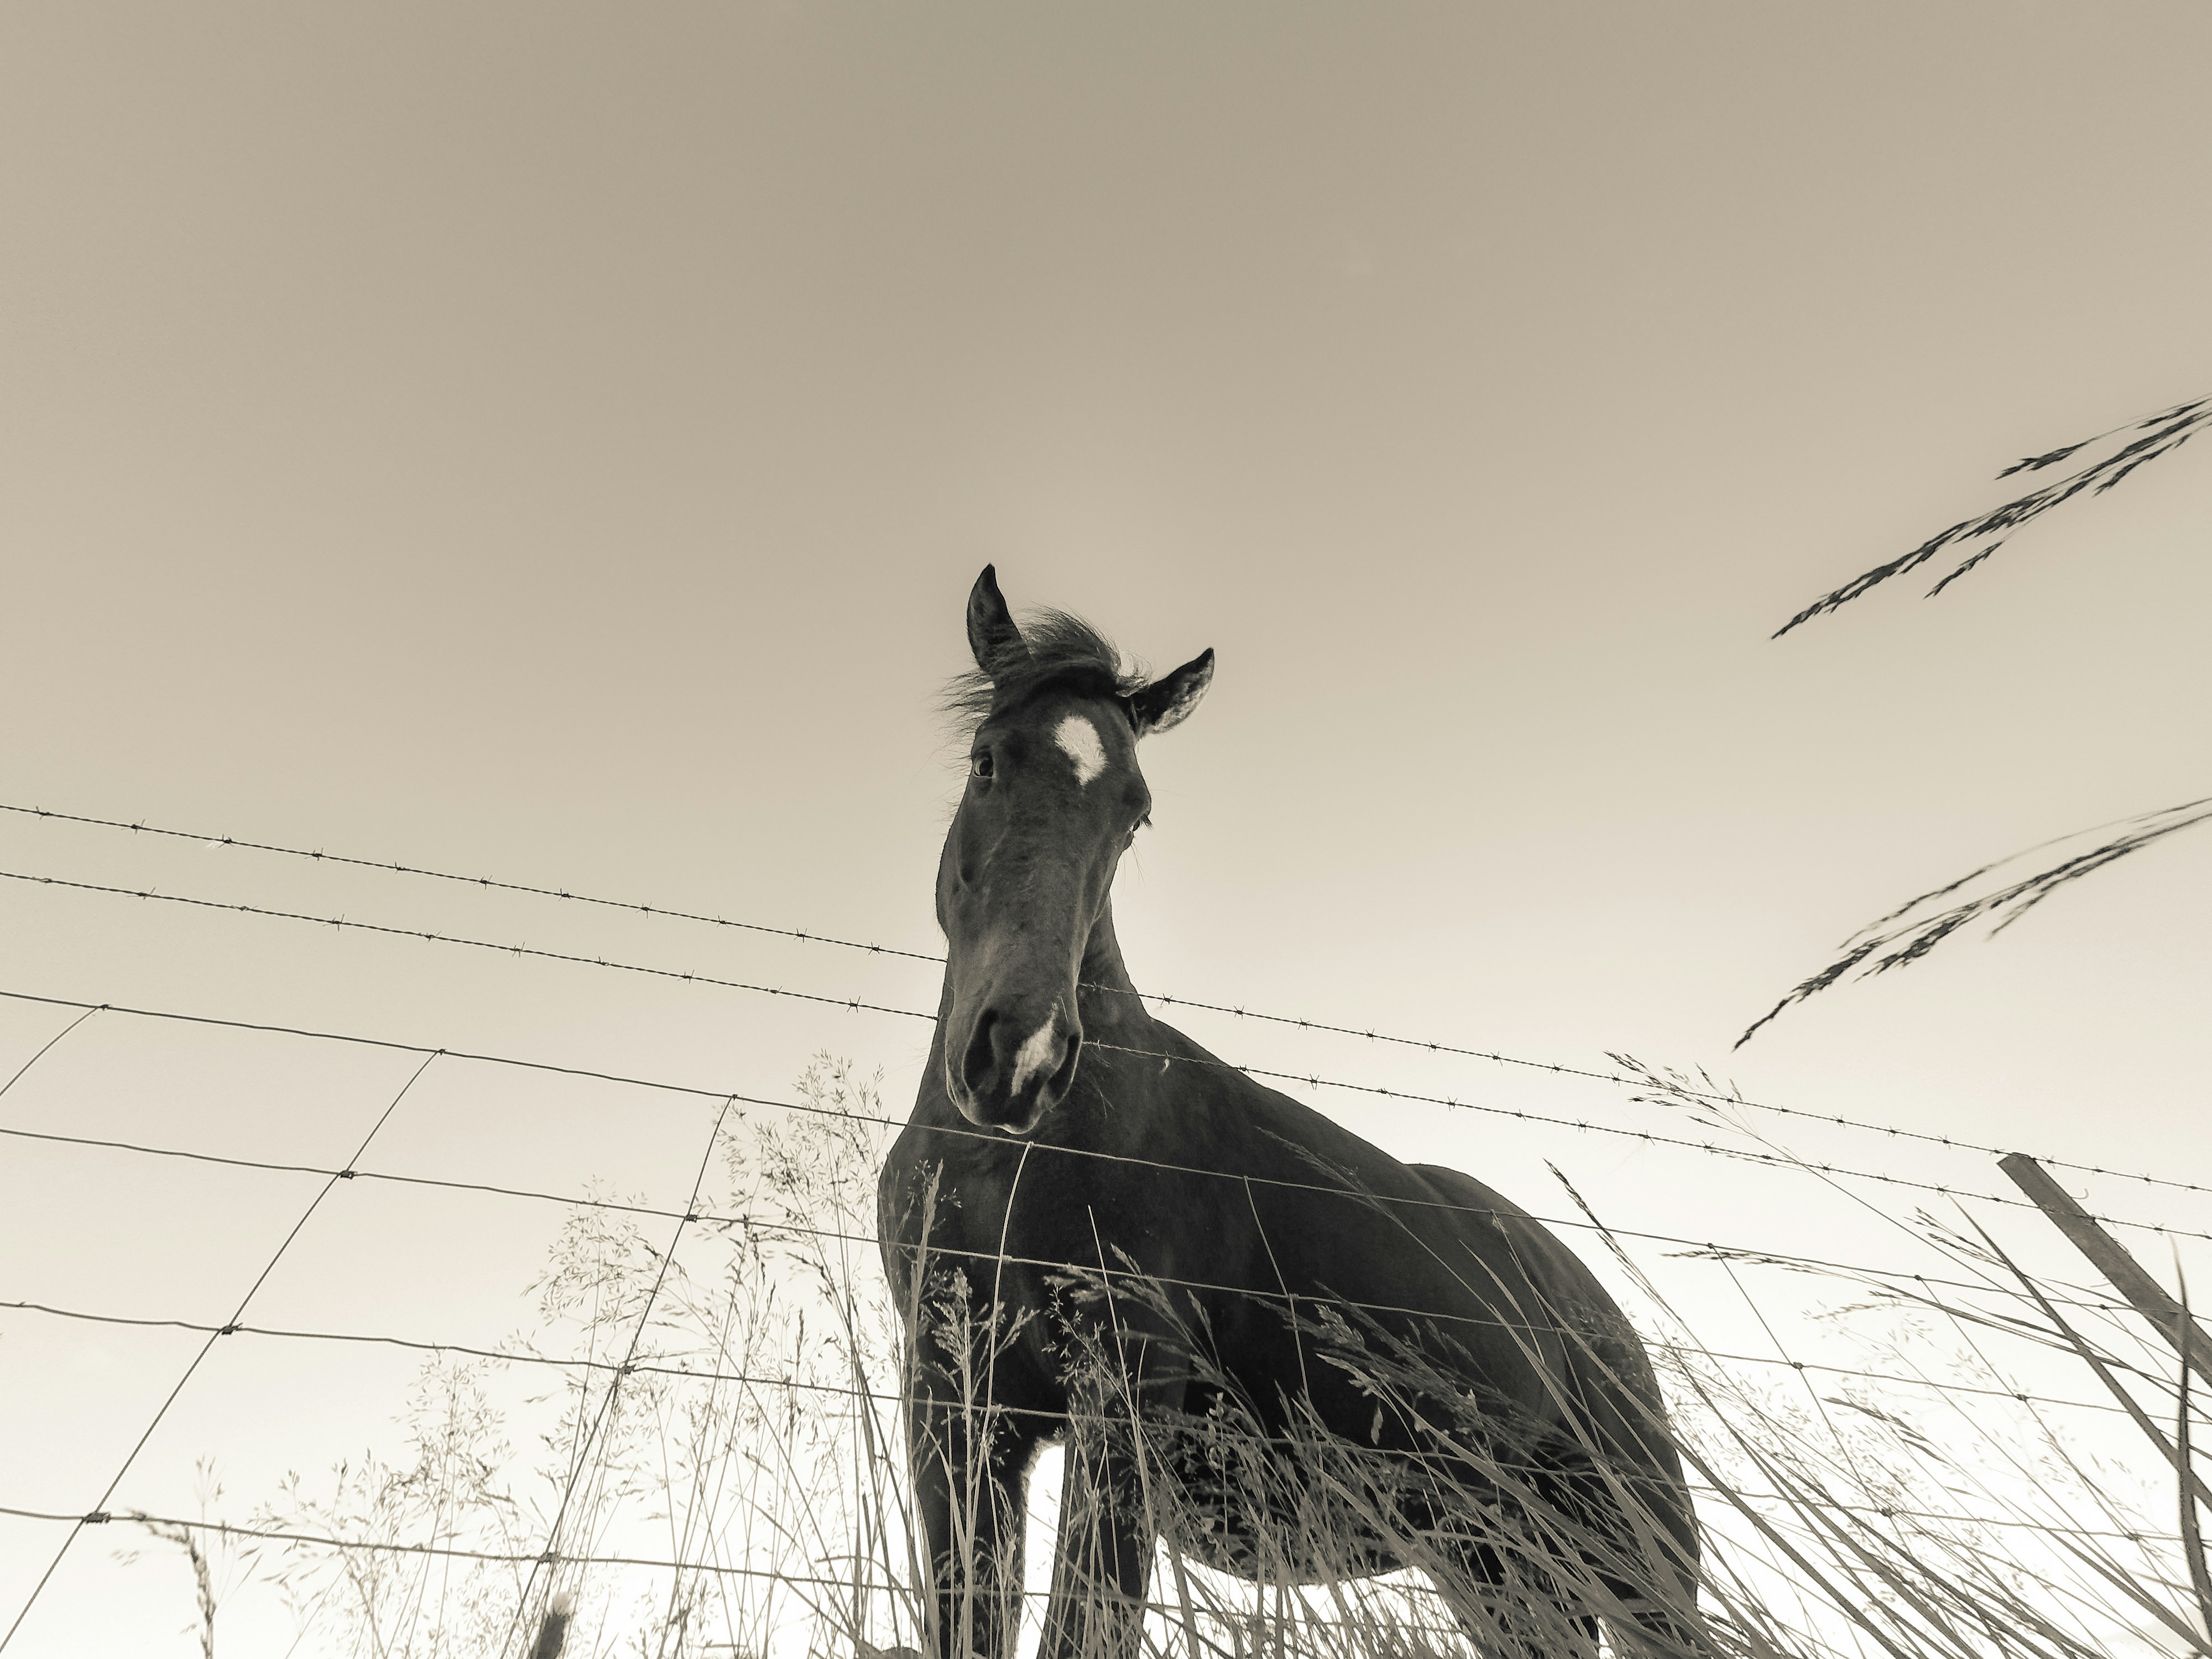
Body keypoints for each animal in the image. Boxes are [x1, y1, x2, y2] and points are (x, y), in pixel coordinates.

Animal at [877, 568, 1701, 1659]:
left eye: (1134, 816)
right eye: (986, 762)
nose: (1023, 1055)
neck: (1004, 1167)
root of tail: (1597, 1311)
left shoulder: (1123, 1404)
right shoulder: (955, 1414)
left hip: (1634, 1563)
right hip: (1500, 1563)